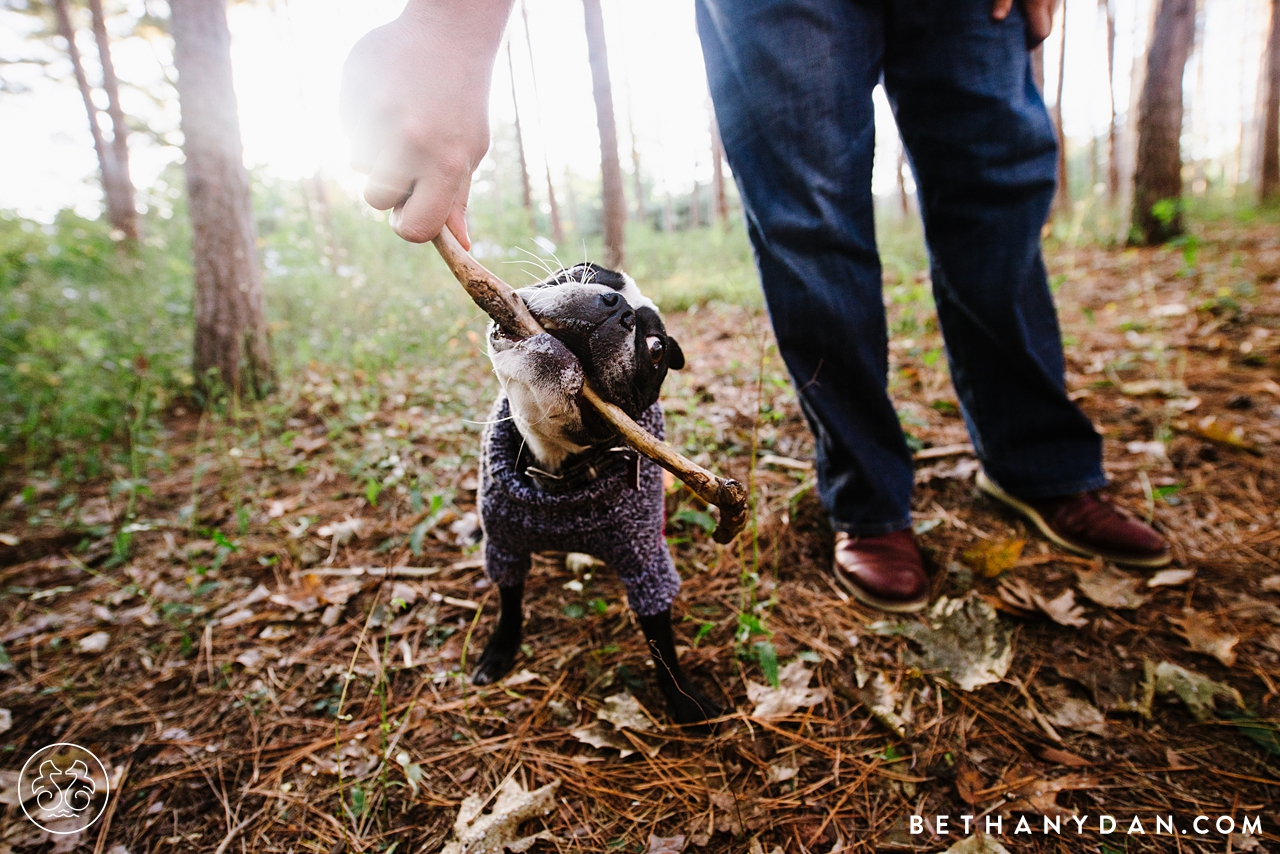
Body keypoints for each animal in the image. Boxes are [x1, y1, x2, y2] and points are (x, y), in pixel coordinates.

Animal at [476, 262, 727, 727]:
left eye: (656, 348)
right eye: (585, 272)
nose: (618, 308)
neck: (558, 469)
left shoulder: (646, 567)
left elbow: (661, 641)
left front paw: (684, 701)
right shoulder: (504, 545)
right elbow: (509, 600)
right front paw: (499, 651)